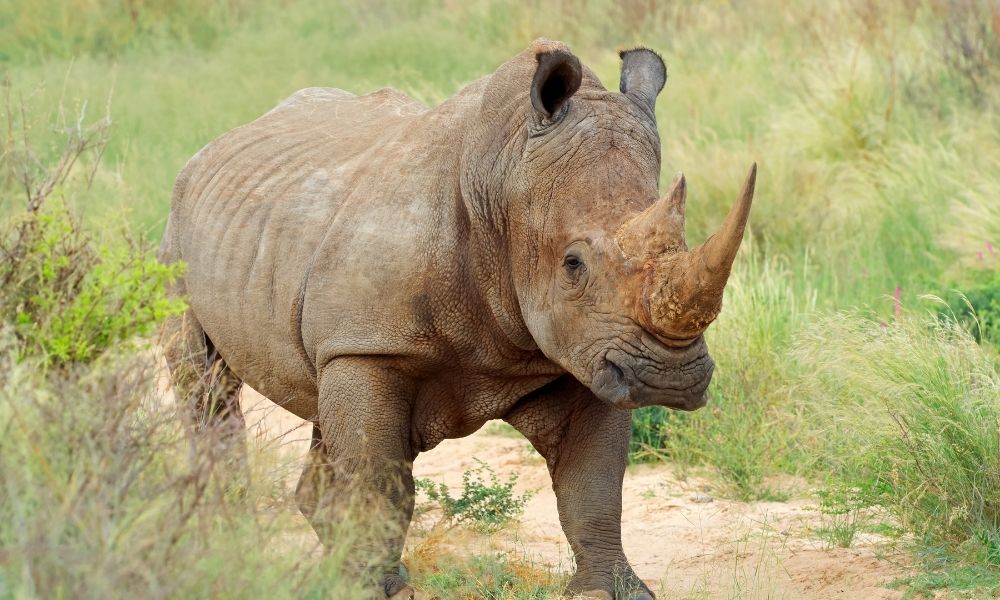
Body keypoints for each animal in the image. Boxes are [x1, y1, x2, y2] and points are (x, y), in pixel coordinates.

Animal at [159, 39, 756, 599]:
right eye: (573, 264)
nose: (669, 379)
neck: (503, 177)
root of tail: (220, 143)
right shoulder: (369, 345)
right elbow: (378, 480)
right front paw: (371, 589)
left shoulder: (589, 351)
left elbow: (595, 488)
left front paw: (616, 590)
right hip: (179, 224)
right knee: (205, 383)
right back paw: (229, 548)